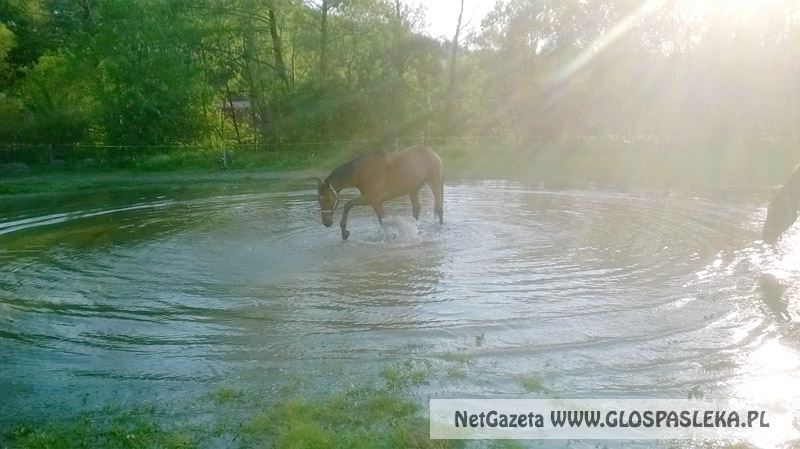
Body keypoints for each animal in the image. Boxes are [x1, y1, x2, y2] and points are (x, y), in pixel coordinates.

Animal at [316, 145, 444, 240]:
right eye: (318, 199)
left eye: (326, 199)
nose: (326, 223)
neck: (362, 172)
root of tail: (433, 154)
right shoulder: (376, 202)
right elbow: (382, 220)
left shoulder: (371, 199)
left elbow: (348, 205)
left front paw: (344, 232)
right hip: (414, 189)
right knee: (417, 208)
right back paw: (413, 228)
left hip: (434, 182)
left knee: (439, 206)